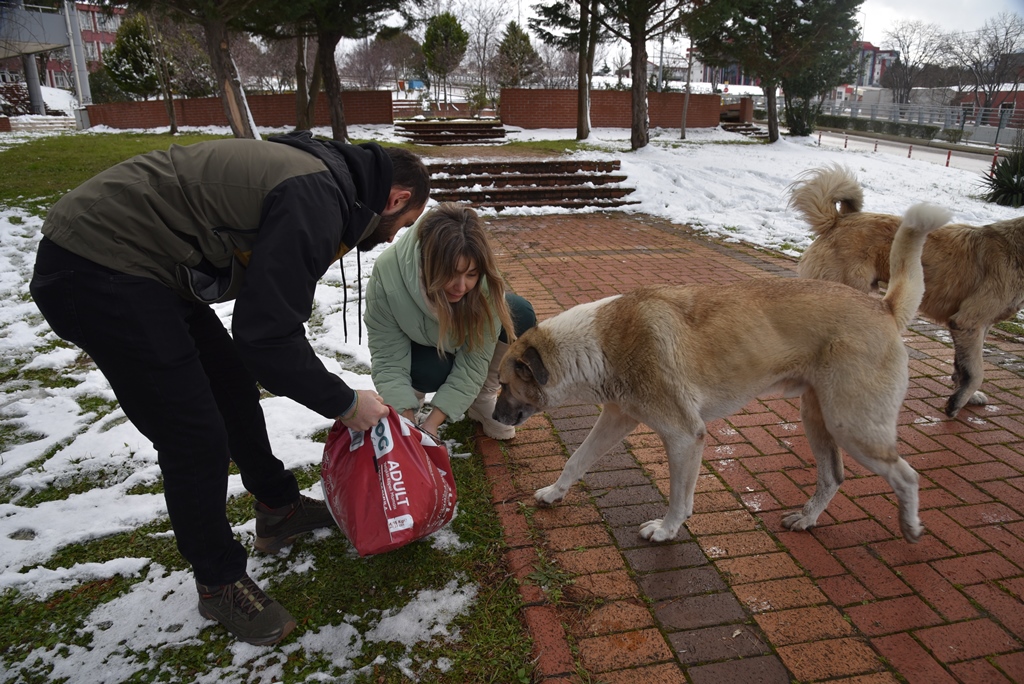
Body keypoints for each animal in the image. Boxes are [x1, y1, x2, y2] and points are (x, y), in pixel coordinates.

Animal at [491, 202, 946, 544]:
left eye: (503, 384)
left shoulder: (684, 435)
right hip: (818, 417)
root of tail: (882, 306)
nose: (493, 417)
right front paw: (554, 492)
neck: (598, 341)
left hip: (851, 424)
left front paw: (667, 530)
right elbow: (577, 460)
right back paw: (806, 518)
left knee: (906, 475)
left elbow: (679, 496)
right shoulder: (617, 418)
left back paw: (910, 526)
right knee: (833, 475)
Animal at [790, 165, 1024, 417]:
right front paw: (956, 403)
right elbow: (977, 370)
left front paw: (965, 395)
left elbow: (963, 366)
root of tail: (838, 221)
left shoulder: (975, 327)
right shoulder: (968, 322)